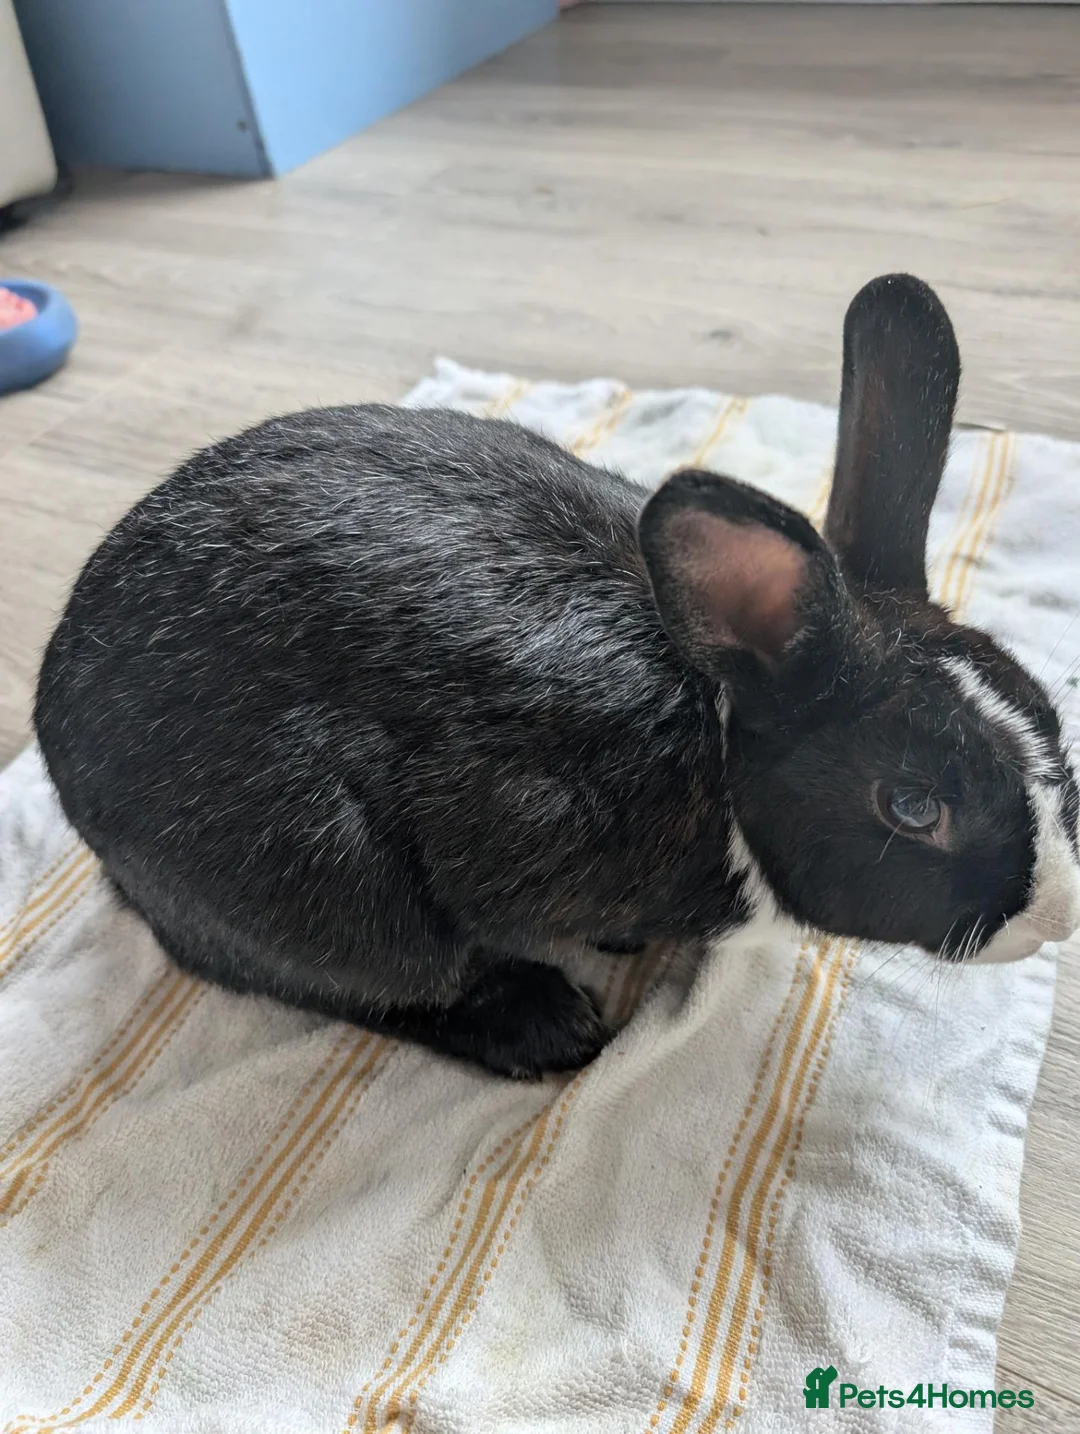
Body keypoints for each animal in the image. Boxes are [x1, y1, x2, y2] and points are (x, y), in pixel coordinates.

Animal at [34, 273, 1080, 1078]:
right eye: (913, 806)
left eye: (1047, 712)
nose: (1059, 916)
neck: (720, 739)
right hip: (321, 878)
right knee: (362, 980)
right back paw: (541, 1027)